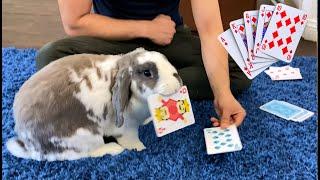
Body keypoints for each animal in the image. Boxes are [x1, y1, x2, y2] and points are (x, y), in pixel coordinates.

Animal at [6, 47, 182, 160]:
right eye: (147, 73)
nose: (177, 81)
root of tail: (30, 145)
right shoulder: (127, 128)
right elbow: (130, 139)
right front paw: (139, 148)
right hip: (86, 135)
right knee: (83, 154)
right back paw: (113, 149)